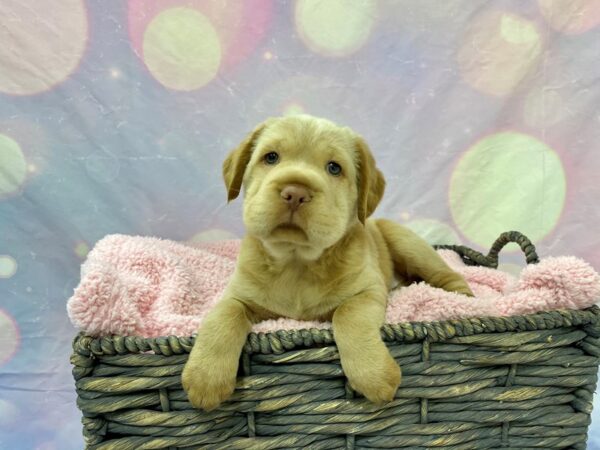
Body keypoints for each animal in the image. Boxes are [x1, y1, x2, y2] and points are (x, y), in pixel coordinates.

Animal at [180, 114, 472, 410]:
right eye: (271, 157)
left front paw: (374, 374)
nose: (295, 192)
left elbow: (347, 314)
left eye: (334, 168)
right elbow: (222, 317)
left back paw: (465, 299)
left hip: (407, 243)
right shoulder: (237, 294)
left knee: (447, 274)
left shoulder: (367, 291)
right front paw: (206, 376)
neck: (297, 262)